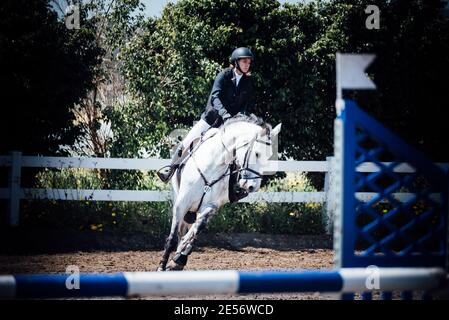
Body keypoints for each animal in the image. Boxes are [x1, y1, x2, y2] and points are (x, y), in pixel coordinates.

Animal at [157, 114, 280, 272]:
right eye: (257, 154)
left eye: (269, 156)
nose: (253, 186)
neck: (214, 164)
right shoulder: (181, 204)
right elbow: (173, 238)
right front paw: (162, 266)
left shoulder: (210, 207)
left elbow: (196, 230)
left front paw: (180, 255)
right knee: (181, 229)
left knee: (191, 229)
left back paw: (180, 258)